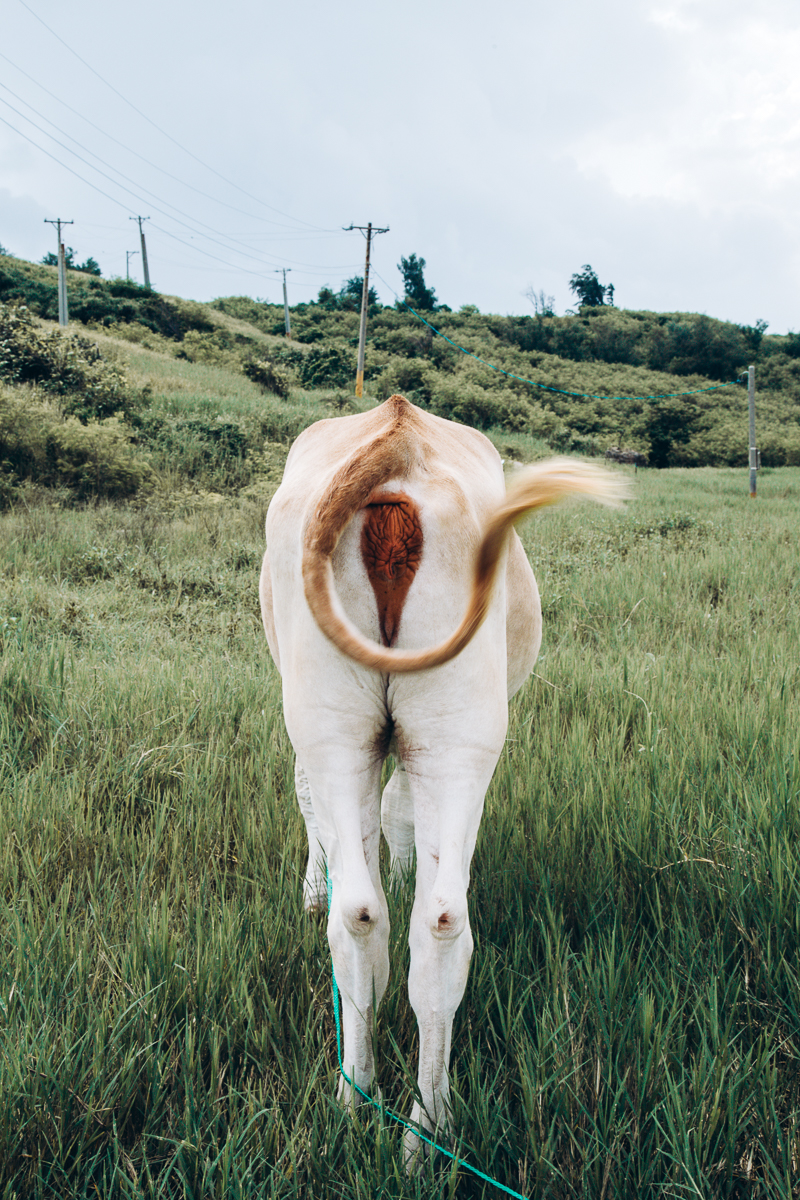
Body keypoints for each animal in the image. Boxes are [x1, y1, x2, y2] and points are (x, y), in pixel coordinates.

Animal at [261, 393, 623, 1152]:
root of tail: (397, 439)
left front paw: (315, 885)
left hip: (337, 717)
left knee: (357, 900)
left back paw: (364, 1097)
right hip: (451, 732)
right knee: (422, 919)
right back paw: (416, 1125)